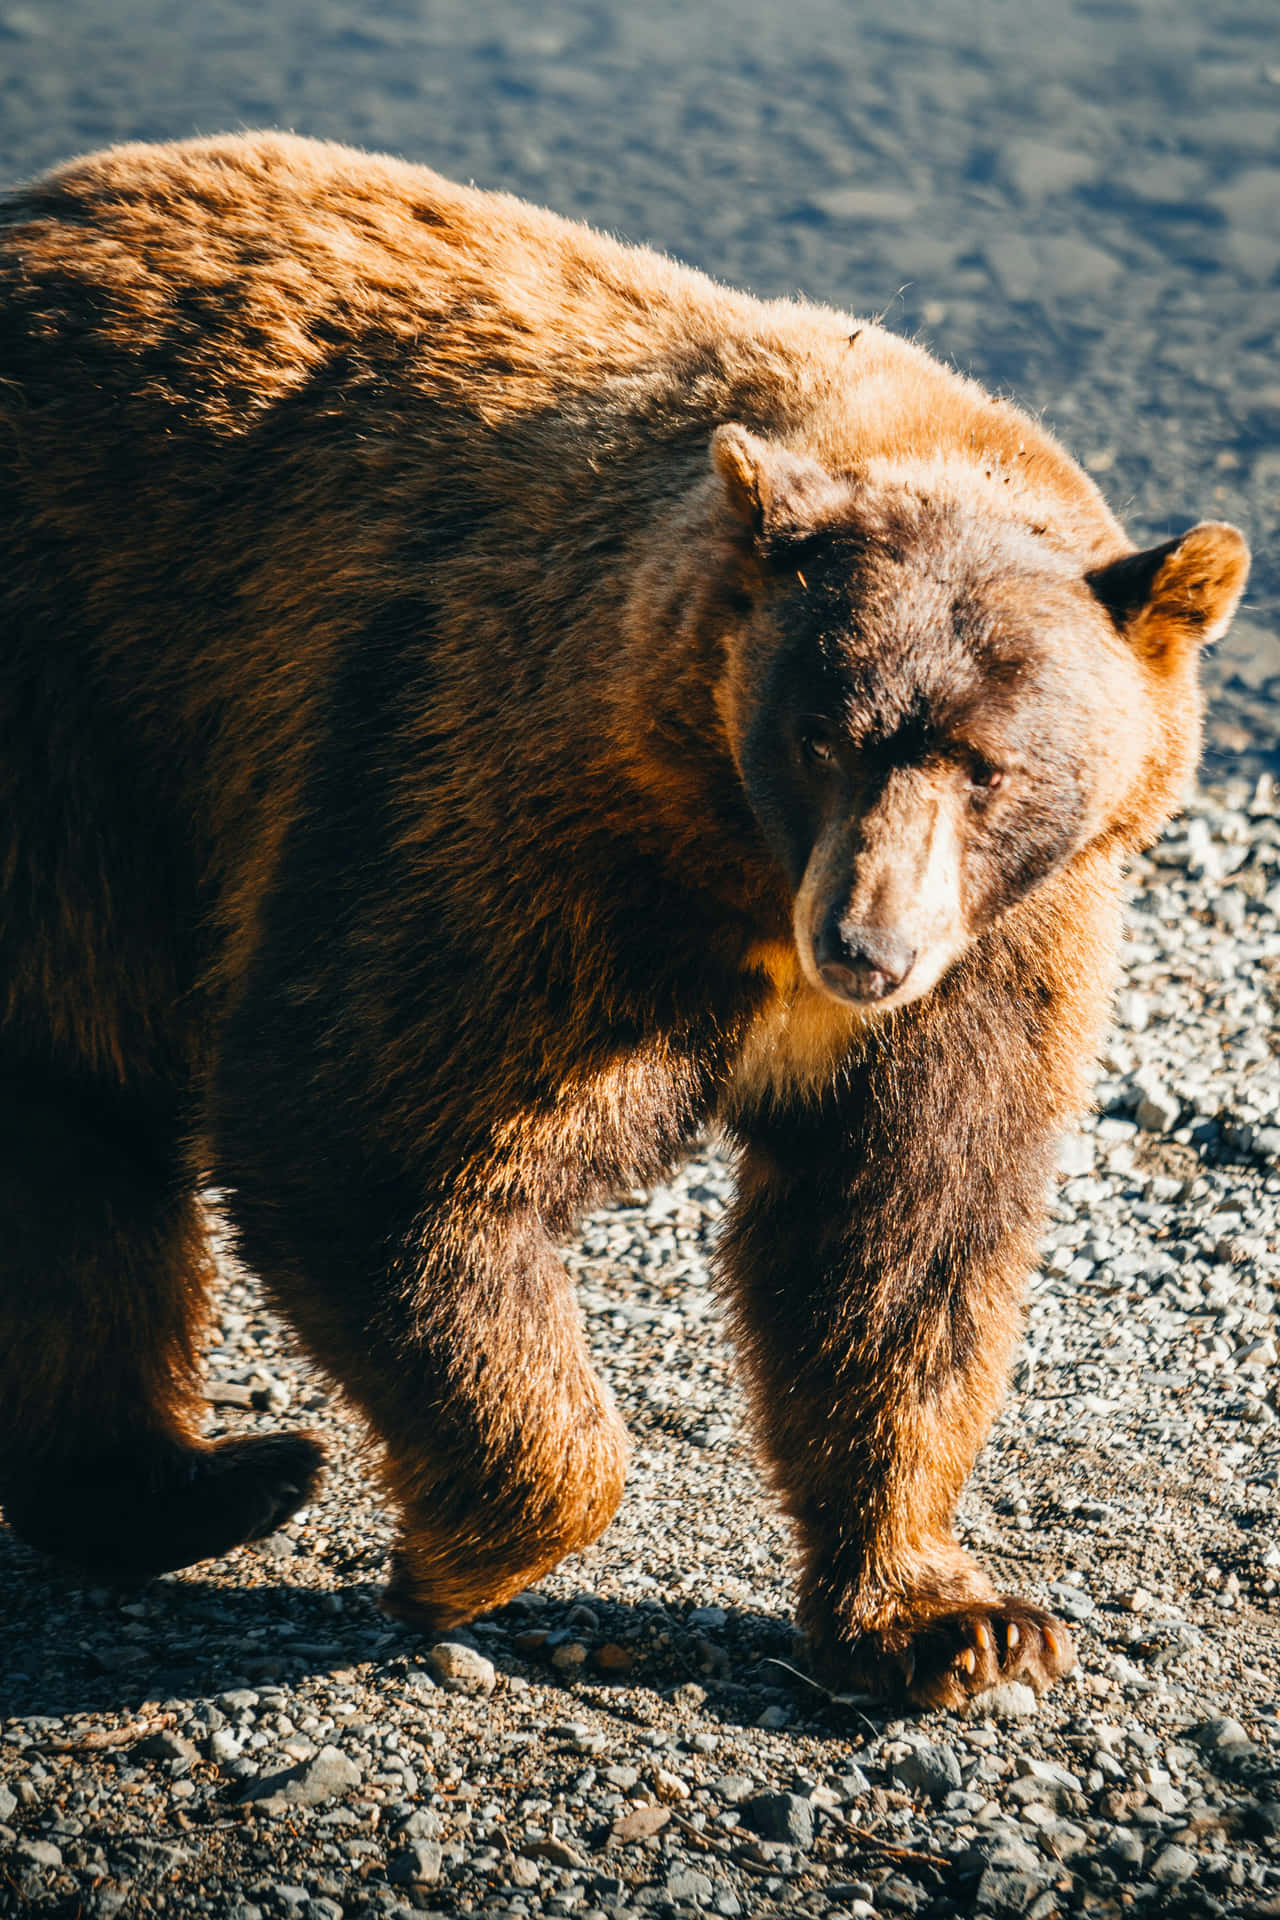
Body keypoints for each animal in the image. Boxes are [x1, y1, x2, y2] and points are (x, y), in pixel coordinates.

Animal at [0, 132, 1249, 1710]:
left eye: (990, 766)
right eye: (822, 735)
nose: (865, 948)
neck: (745, 869)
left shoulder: (1002, 951)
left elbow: (900, 1235)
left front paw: (948, 1618)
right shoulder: (512, 800)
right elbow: (381, 1133)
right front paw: (465, 1553)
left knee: (76, 1139)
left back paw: (184, 1485)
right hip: (84, 720)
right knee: (87, 1087)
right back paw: (235, 1473)